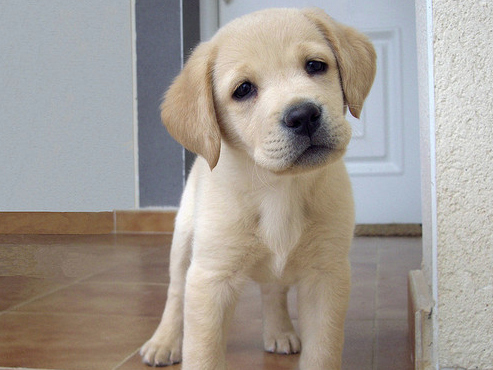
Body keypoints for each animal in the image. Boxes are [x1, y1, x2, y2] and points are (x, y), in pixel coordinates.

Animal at [140, 7, 374, 368]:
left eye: (315, 65)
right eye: (243, 89)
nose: (303, 115)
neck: (278, 188)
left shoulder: (327, 275)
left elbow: (322, 352)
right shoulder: (211, 278)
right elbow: (203, 354)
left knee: (272, 289)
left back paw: (279, 331)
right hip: (183, 240)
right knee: (175, 292)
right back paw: (163, 342)